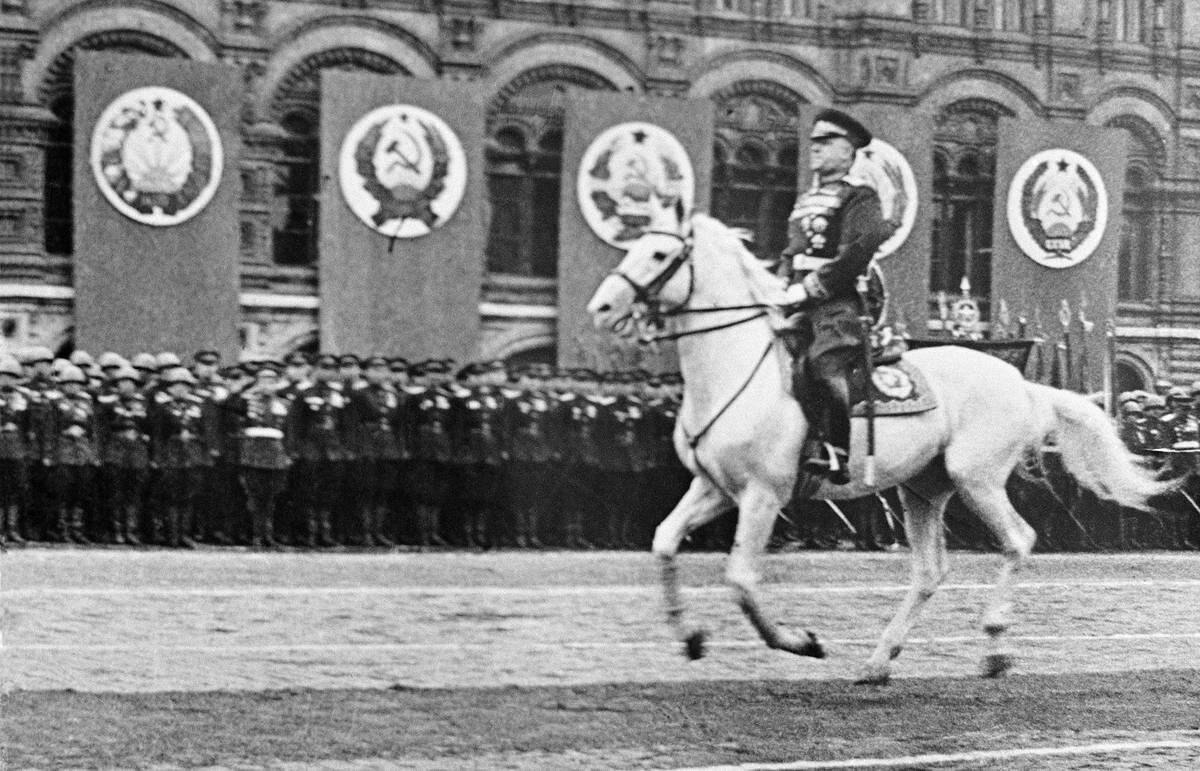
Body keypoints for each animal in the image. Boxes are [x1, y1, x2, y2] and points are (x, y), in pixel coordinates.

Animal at [585, 208, 1166, 677]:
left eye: (660, 253)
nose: (601, 307)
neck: (735, 370)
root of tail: (1022, 382)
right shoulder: (714, 489)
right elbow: (664, 541)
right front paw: (689, 635)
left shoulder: (762, 495)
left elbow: (742, 581)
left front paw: (801, 642)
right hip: (923, 489)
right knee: (930, 571)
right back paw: (879, 660)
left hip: (975, 479)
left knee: (1018, 540)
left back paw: (995, 646)